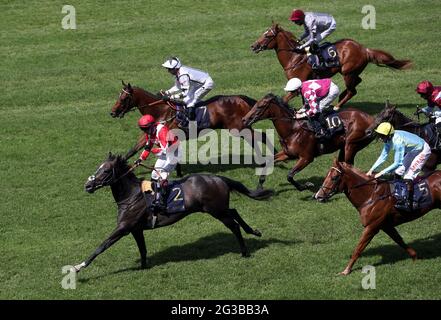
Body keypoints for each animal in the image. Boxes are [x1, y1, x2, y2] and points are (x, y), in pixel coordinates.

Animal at [71, 153, 274, 272]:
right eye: (98, 167)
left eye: (105, 170)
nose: (87, 185)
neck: (131, 195)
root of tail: (218, 178)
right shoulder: (136, 229)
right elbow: (142, 249)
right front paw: (143, 267)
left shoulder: (123, 227)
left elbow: (102, 246)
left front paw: (78, 266)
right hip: (218, 208)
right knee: (234, 211)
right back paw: (254, 231)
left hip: (216, 210)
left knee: (234, 225)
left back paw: (245, 251)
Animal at [108, 81, 274, 162]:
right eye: (118, 96)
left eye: (124, 98)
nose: (112, 112)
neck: (160, 110)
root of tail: (240, 98)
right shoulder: (149, 133)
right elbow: (133, 150)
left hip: (238, 128)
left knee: (261, 137)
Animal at [241, 94, 374, 191]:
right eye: (255, 104)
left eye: (260, 106)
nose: (244, 119)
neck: (292, 129)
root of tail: (370, 118)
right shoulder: (287, 154)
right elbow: (268, 162)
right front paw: (259, 186)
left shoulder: (306, 158)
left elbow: (289, 175)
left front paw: (305, 186)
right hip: (344, 147)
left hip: (351, 145)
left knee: (349, 164)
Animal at [251, 23, 412, 109]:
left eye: (267, 35)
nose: (253, 46)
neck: (294, 57)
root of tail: (364, 49)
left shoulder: (296, 85)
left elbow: (285, 99)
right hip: (349, 72)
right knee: (356, 83)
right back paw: (340, 97)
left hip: (348, 73)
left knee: (352, 91)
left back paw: (338, 105)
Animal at [312, 160, 440, 276]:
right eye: (326, 175)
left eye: (334, 177)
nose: (318, 196)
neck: (371, 196)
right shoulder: (386, 225)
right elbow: (399, 240)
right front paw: (415, 256)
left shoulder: (371, 227)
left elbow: (358, 249)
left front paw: (346, 270)